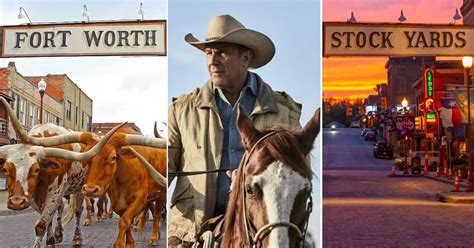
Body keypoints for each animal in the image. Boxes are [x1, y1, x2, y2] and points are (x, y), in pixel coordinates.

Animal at [0, 96, 122, 246]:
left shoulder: (55, 193)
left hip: (80, 188)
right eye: (5, 169)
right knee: (62, 207)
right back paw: (57, 235)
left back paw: (77, 237)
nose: (17, 202)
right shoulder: (34, 197)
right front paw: (51, 240)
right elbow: (48, 219)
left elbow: (41, 225)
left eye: (36, 169)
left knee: (79, 210)